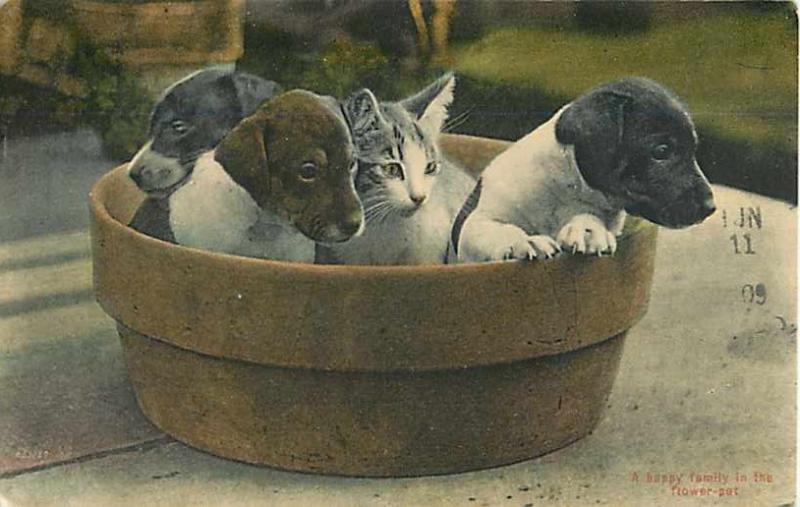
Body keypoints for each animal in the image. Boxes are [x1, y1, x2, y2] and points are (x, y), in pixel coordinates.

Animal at [454, 78, 716, 266]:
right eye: (661, 151)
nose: (710, 208)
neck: (567, 186)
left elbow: (588, 216)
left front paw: (588, 230)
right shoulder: (475, 224)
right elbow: (496, 229)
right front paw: (524, 240)